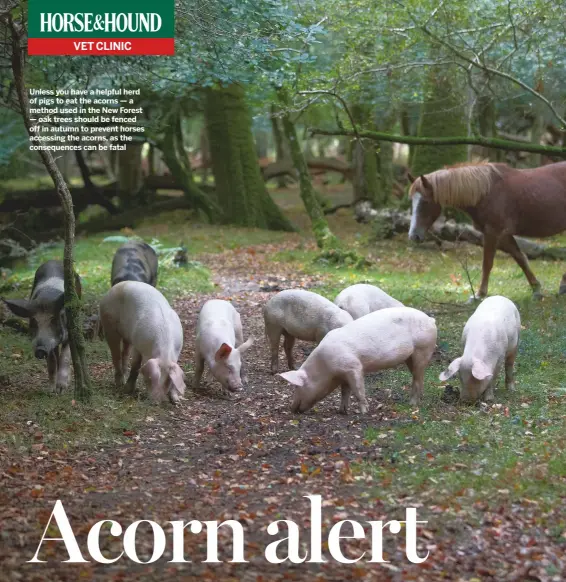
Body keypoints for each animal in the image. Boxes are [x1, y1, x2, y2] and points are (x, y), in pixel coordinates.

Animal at [278, 306, 438, 416]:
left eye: (297, 386)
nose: (292, 409)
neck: (326, 368)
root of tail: (431, 320)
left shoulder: (353, 367)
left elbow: (358, 390)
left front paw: (363, 412)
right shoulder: (343, 374)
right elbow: (345, 391)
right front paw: (342, 411)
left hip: (423, 349)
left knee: (417, 378)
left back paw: (412, 404)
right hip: (411, 357)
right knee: (419, 377)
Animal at [410, 162, 566, 302]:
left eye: (425, 202)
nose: (413, 236)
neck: (486, 193)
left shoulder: (492, 232)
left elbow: (487, 264)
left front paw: (479, 294)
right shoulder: (503, 235)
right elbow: (520, 258)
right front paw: (536, 290)